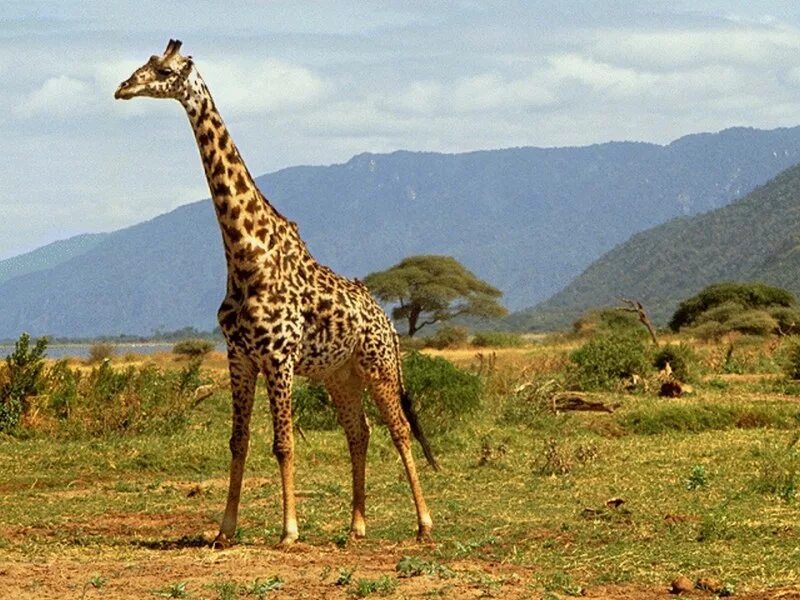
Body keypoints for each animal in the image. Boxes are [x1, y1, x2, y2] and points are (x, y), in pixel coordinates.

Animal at [114, 38, 438, 548]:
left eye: (163, 70)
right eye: (143, 65)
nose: (122, 88)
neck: (246, 255)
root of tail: (387, 319)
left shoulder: (278, 357)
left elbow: (283, 443)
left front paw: (289, 531)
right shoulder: (239, 357)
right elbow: (238, 441)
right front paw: (224, 530)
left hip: (378, 364)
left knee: (400, 429)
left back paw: (424, 524)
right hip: (339, 374)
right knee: (360, 432)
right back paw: (356, 526)